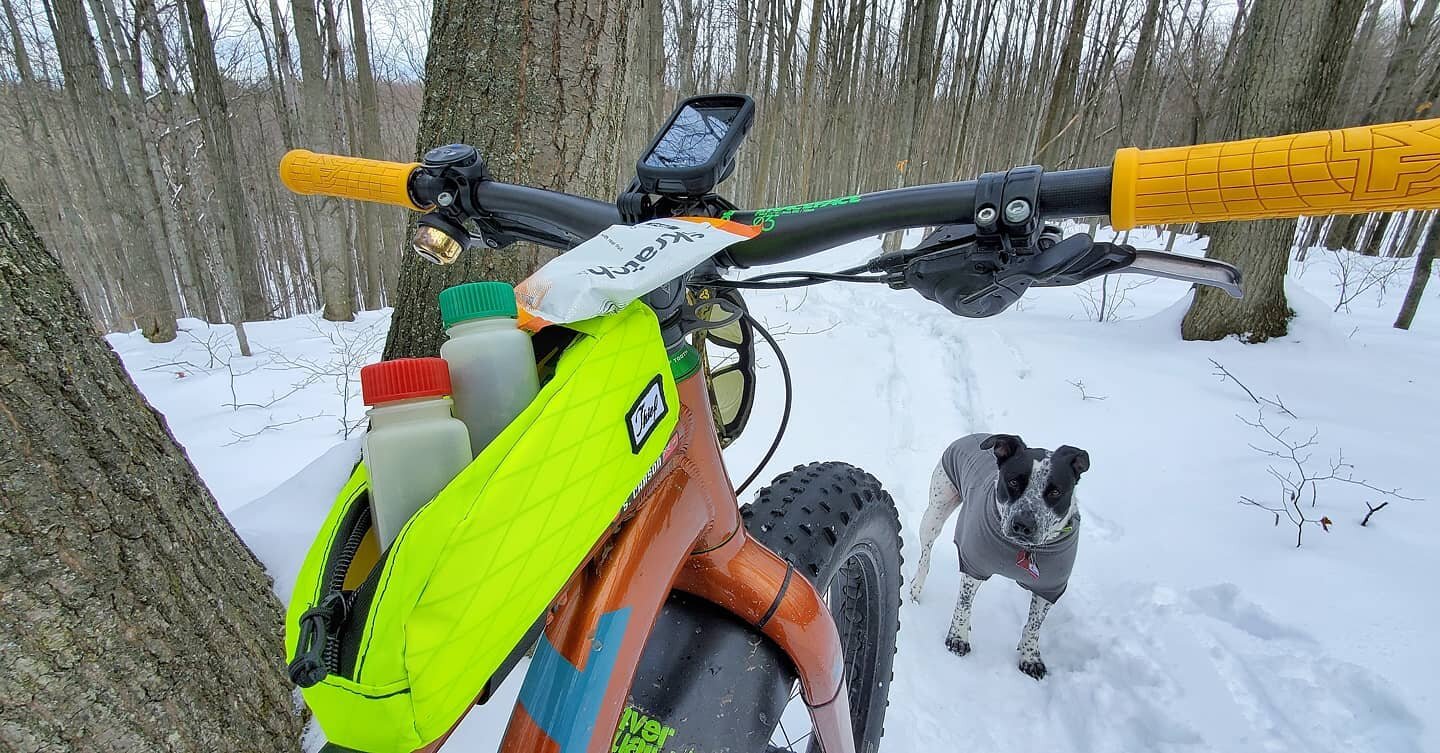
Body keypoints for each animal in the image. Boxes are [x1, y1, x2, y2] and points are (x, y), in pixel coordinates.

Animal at [915, 431, 1082, 679]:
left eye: (1055, 491)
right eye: (1013, 482)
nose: (1023, 524)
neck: (1023, 550)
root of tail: (974, 435)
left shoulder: (1050, 587)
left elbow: (1035, 625)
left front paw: (1030, 656)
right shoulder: (974, 565)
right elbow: (964, 604)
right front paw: (958, 637)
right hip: (936, 509)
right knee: (925, 554)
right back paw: (916, 587)